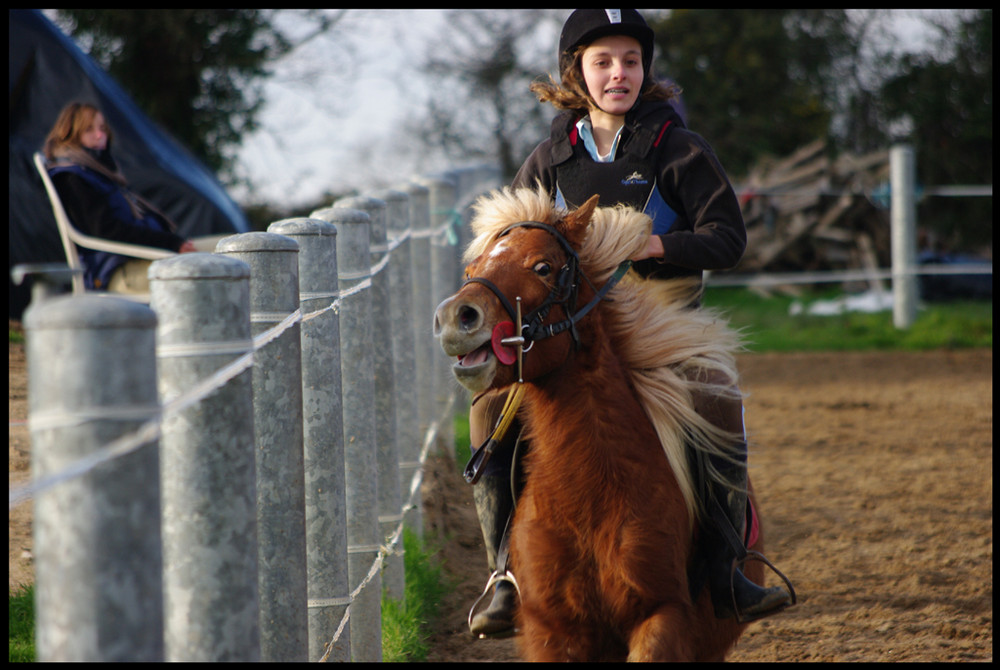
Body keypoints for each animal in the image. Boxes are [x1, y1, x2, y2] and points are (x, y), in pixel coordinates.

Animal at [436, 186, 764, 664]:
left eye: (542, 266)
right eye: (471, 270)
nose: (454, 318)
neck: (589, 496)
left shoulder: (664, 616)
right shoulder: (553, 631)